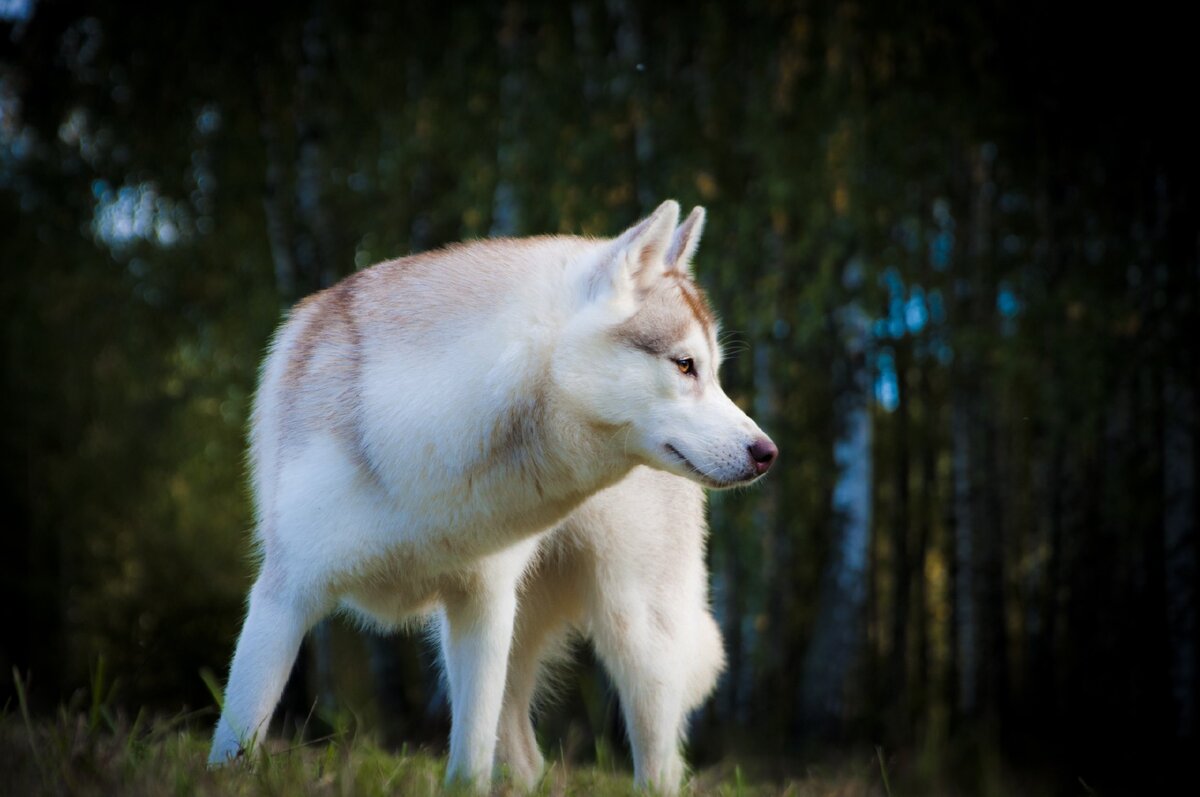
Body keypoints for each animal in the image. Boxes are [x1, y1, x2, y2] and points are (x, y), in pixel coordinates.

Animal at [211, 200, 777, 792]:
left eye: (713, 373)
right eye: (685, 365)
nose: (768, 452)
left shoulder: (483, 606)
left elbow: (470, 760)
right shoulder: (283, 597)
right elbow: (237, 738)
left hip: (635, 635)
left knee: (658, 764)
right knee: (529, 760)